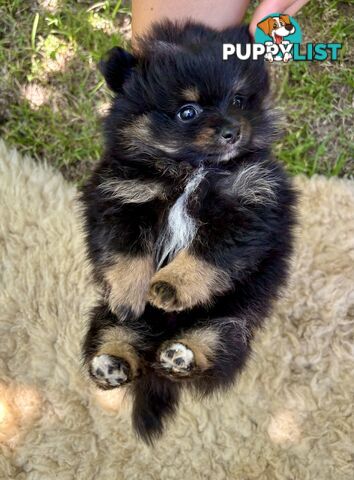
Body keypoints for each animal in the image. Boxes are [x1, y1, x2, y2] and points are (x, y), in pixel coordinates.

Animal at [79, 20, 296, 444]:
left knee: (211, 350)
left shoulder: (250, 208)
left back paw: (180, 355)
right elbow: (127, 254)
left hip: (230, 324)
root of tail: (156, 352)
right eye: (187, 111)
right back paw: (111, 365)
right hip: (105, 318)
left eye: (238, 100)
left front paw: (168, 287)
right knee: (118, 341)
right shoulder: (121, 199)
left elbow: (207, 255)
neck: (192, 169)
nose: (232, 131)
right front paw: (132, 294)